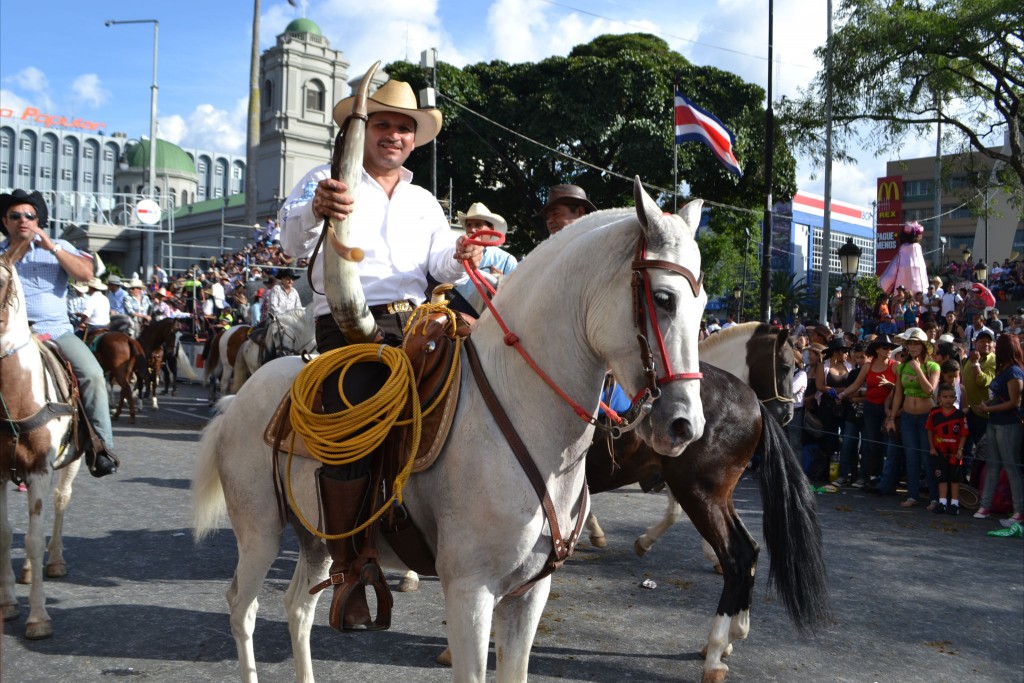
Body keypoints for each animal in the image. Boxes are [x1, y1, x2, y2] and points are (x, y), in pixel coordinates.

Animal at [190, 179, 704, 679]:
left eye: (701, 307)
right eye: (664, 298)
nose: (686, 425)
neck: (521, 412)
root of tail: (241, 399)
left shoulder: (528, 593)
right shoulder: (470, 591)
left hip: (318, 539)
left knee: (298, 607)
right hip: (260, 529)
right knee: (243, 608)